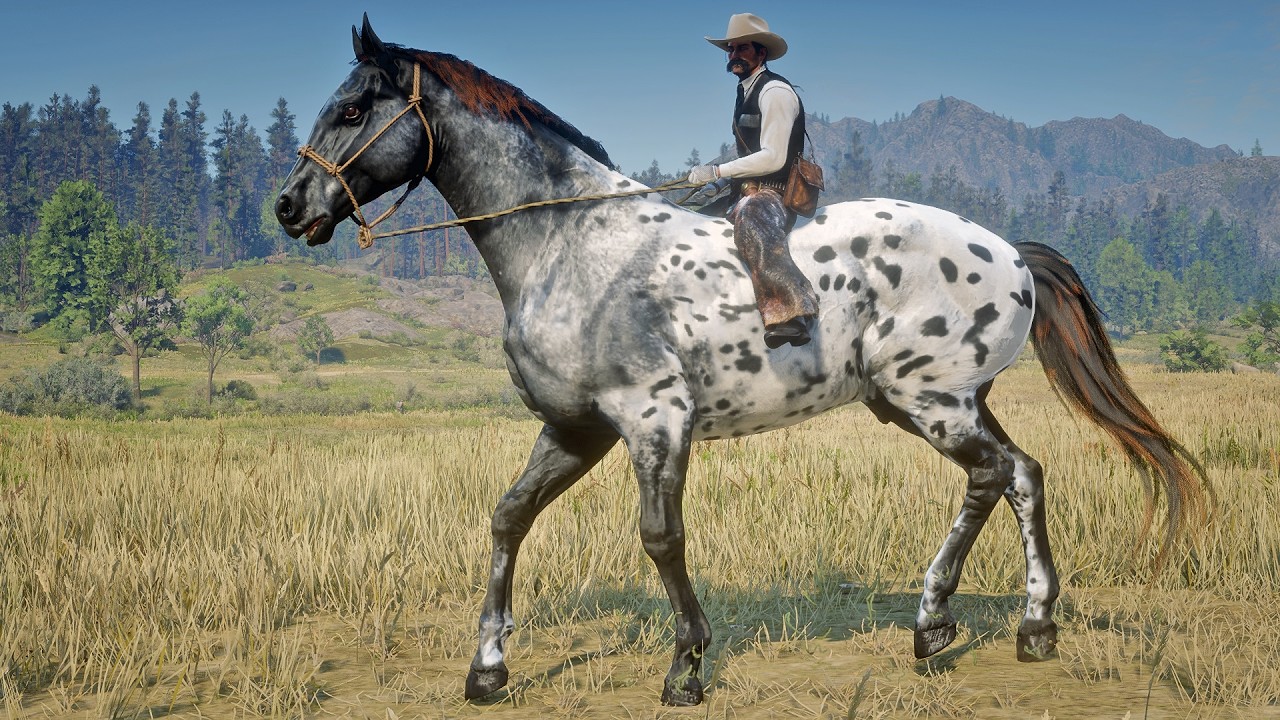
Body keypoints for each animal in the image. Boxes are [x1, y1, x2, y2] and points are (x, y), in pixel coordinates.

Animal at [275, 17, 1209, 706]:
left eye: (353, 110)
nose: (288, 207)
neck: (567, 243)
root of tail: (1011, 251)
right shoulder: (577, 429)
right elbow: (508, 519)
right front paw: (487, 670)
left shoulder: (654, 419)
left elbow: (660, 536)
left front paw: (686, 667)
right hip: (943, 399)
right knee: (1022, 473)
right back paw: (1031, 627)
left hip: (928, 398)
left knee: (993, 476)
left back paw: (935, 620)